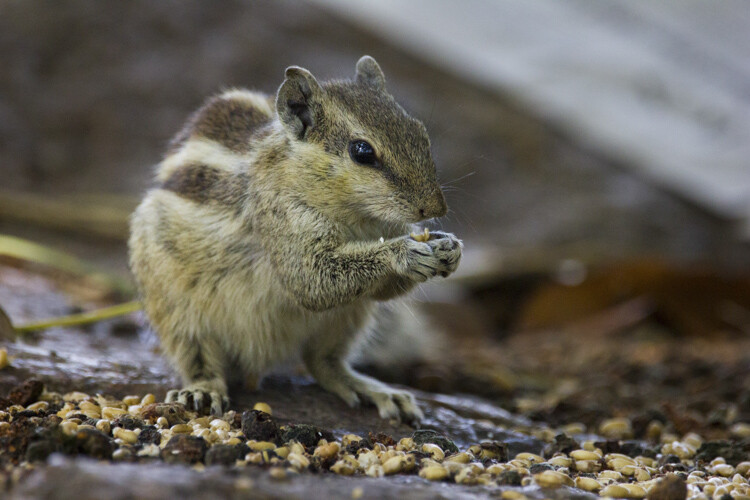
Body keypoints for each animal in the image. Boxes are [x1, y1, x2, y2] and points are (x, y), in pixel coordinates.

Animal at [129, 55, 464, 422]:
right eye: (362, 151)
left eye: (421, 134)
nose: (436, 207)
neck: (356, 218)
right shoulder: (283, 224)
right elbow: (311, 280)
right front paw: (405, 253)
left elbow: (381, 290)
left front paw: (449, 247)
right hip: (177, 310)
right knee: (199, 359)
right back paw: (201, 390)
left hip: (348, 319)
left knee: (323, 363)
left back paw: (371, 388)